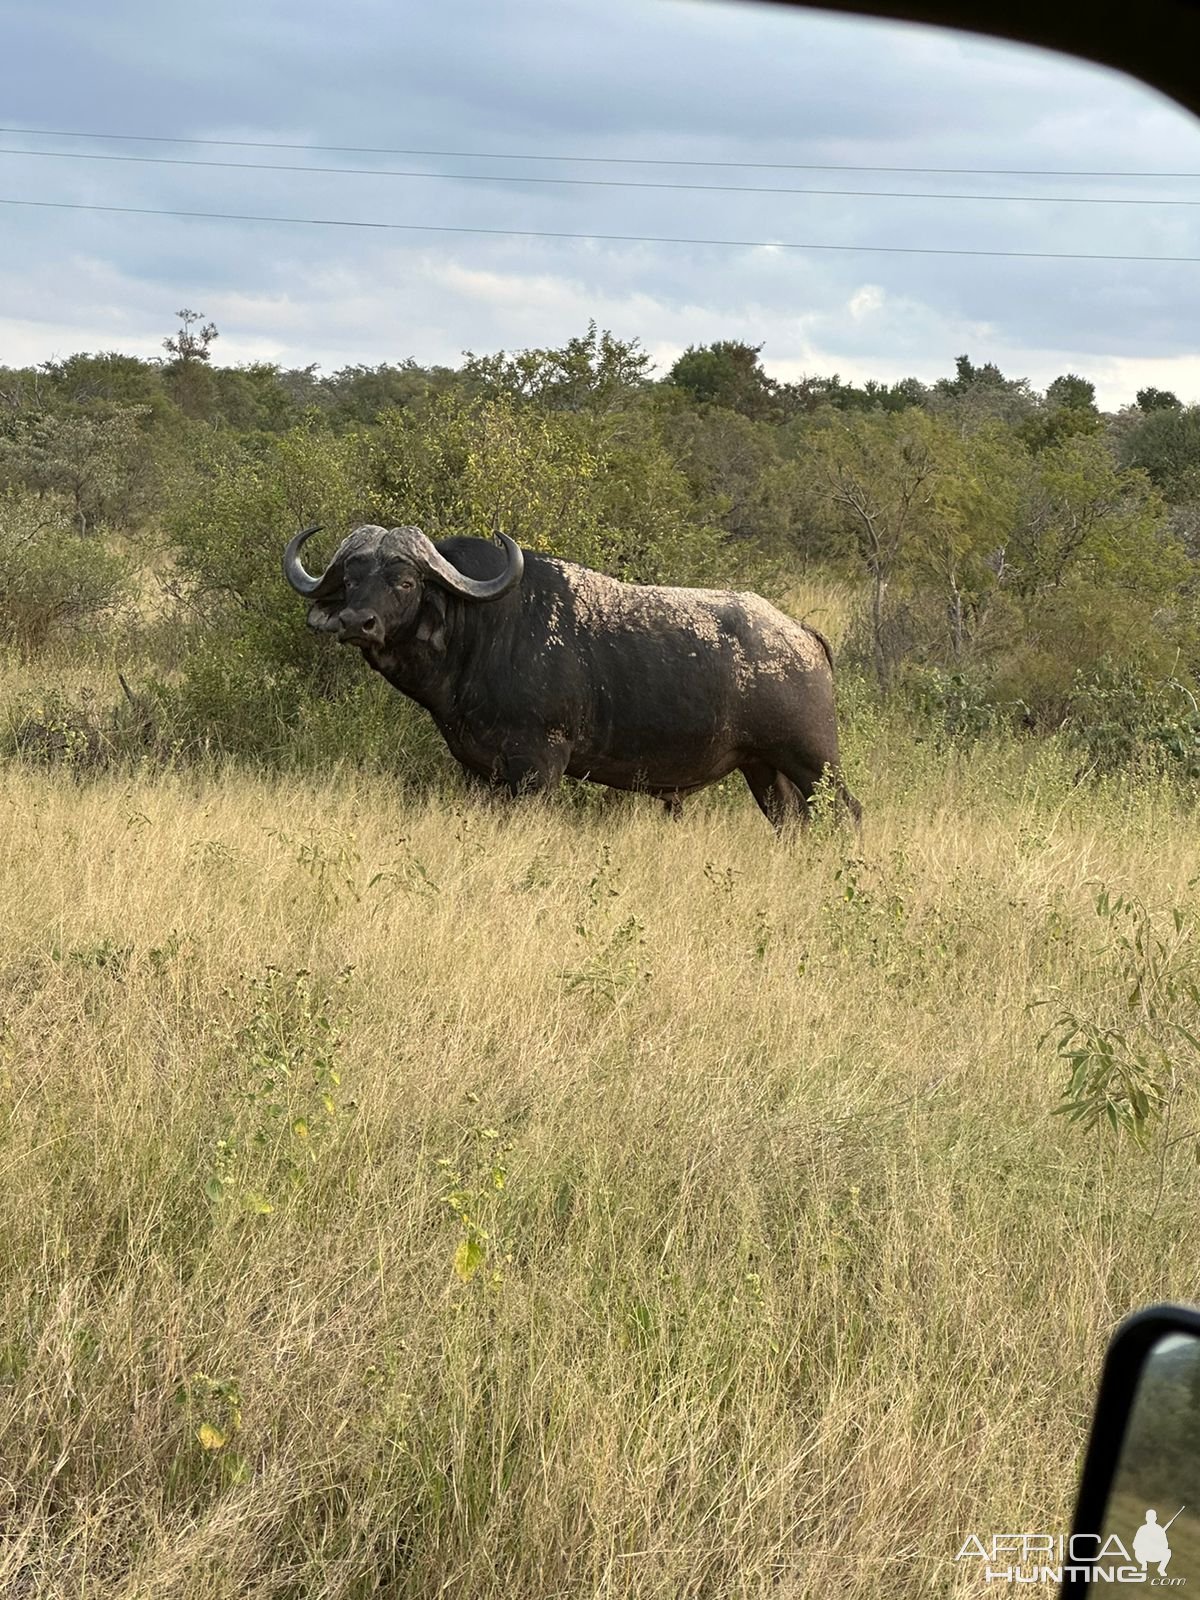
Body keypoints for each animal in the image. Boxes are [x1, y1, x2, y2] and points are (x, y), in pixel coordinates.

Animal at [281, 524, 864, 832]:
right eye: (351, 579)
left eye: (403, 581)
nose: (356, 622)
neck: (485, 630)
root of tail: (802, 635)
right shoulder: (481, 770)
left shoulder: (540, 766)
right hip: (764, 770)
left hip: (814, 762)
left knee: (849, 814)